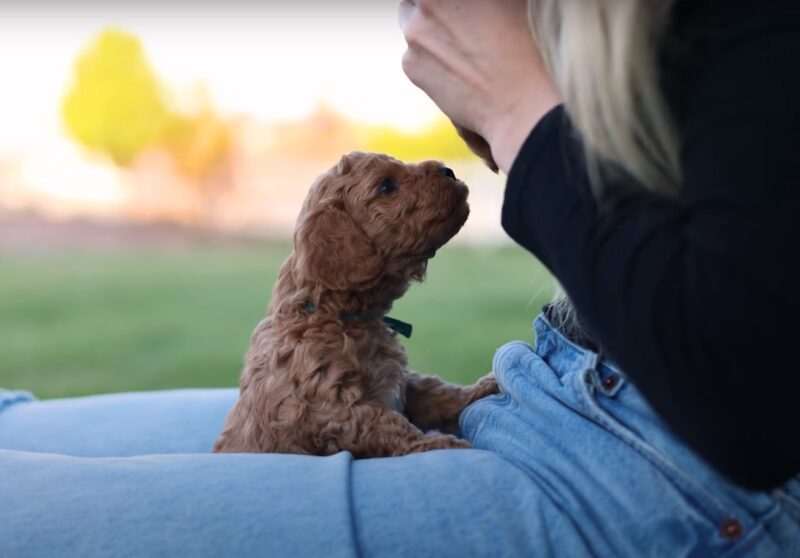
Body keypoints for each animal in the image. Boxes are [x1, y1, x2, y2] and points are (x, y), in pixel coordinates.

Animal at [216, 151, 496, 458]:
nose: (449, 171)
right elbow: (385, 421)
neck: (334, 312)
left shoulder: (400, 384)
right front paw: (436, 444)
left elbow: (435, 390)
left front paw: (485, 388)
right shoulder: (326, 409)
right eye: (386, 186)